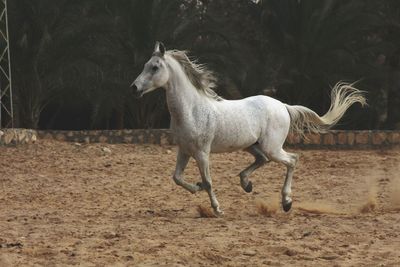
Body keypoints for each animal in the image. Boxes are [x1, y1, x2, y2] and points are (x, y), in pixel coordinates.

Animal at [131, 42, 366, 218]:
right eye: (145, 65)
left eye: (155, 67)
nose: (134, 87)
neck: (192, 109)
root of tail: (283, 106)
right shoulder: (184, 151)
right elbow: (177, 178)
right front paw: (196, 188)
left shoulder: (202, 153)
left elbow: (208, 181)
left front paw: (217, 209)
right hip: (251, 145)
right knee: (263, 160)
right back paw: (247, 184)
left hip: (272, 146)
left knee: (292, 160)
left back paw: (286, 201)